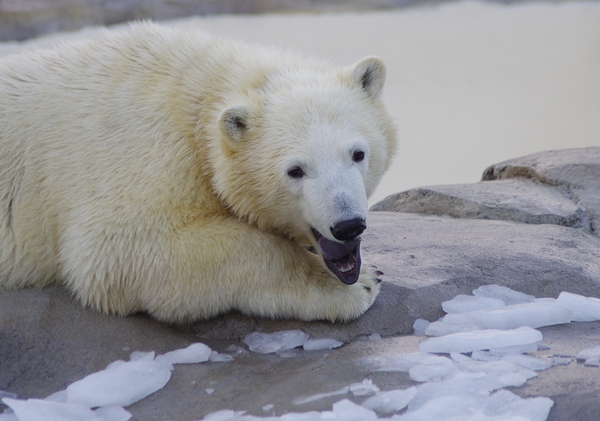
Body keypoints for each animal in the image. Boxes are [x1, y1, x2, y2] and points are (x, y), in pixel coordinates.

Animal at [0, 22, 398, 322]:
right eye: (296, 170)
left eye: (358, 153)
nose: (347, 225)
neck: (195, 88)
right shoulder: (143, 153)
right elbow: (122, 252)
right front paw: (362, 283)